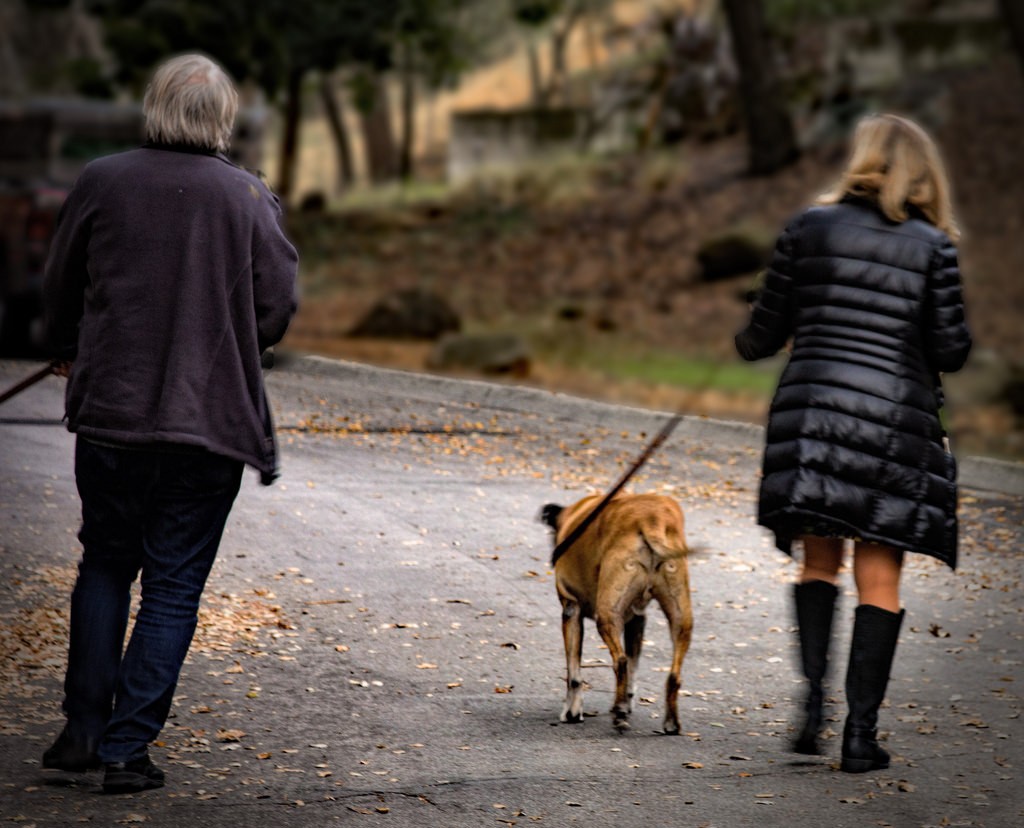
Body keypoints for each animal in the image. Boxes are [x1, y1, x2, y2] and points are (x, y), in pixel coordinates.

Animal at [540, 491, 692, 728]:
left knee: (620, 661)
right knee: (671, 674)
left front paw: (572, 711)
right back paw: (669, 722)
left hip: (607, 617)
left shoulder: (571, 611)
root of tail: (651, 519)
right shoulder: (637, 620)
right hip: (681, 620)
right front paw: (628, 702)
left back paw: (619, 711)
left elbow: (574, 675)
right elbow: (633, 668)